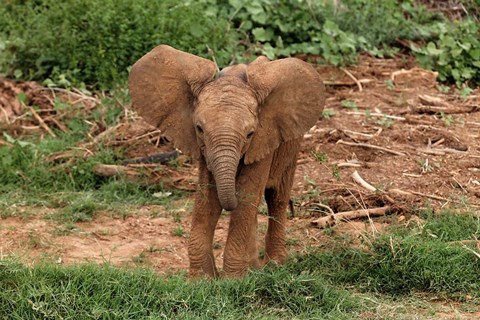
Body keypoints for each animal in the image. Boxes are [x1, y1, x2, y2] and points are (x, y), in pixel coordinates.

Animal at [129, 45, 326, 278]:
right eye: (199, 128)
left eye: (250, 134)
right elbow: (208, 200)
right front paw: (203, 279)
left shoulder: (263, 141)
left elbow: (246, 197)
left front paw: (233, 280)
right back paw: (255, 268)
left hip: (291, 145)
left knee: (276, 197)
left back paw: (274, 265)